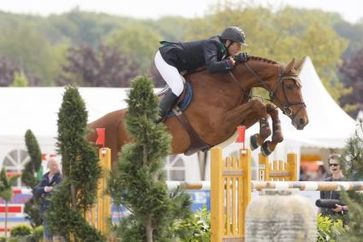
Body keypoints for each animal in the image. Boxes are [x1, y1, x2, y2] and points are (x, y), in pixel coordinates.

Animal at [88, 55, 310, 165]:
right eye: (290, 86)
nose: (303, 121)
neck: (229, 82)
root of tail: (91, 127)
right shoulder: (216, 127)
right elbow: (258, 104)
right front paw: (260, 138)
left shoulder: (235, 123)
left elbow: (267, 107)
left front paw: (269, 142)